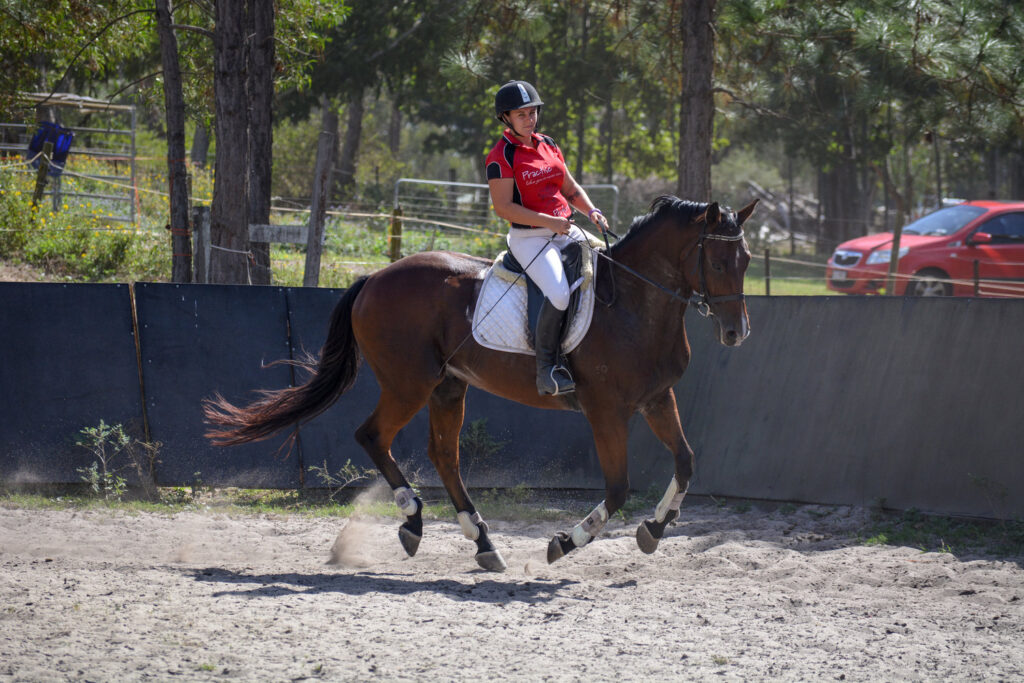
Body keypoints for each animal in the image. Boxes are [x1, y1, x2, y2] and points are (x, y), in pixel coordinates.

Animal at [203, 196, 757, 573]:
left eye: (747, 260)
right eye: (717, 261)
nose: (736, 333)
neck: (635, 306)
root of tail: (374, 278)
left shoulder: (657, 399)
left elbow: (686, 462)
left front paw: (655, 529)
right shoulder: (606, 410)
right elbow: (619, 488)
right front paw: (565, 543)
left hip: (448, 386)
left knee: (443, 455)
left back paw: (481, 541)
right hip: (409, 383)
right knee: (373, 436)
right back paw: (413, 519)